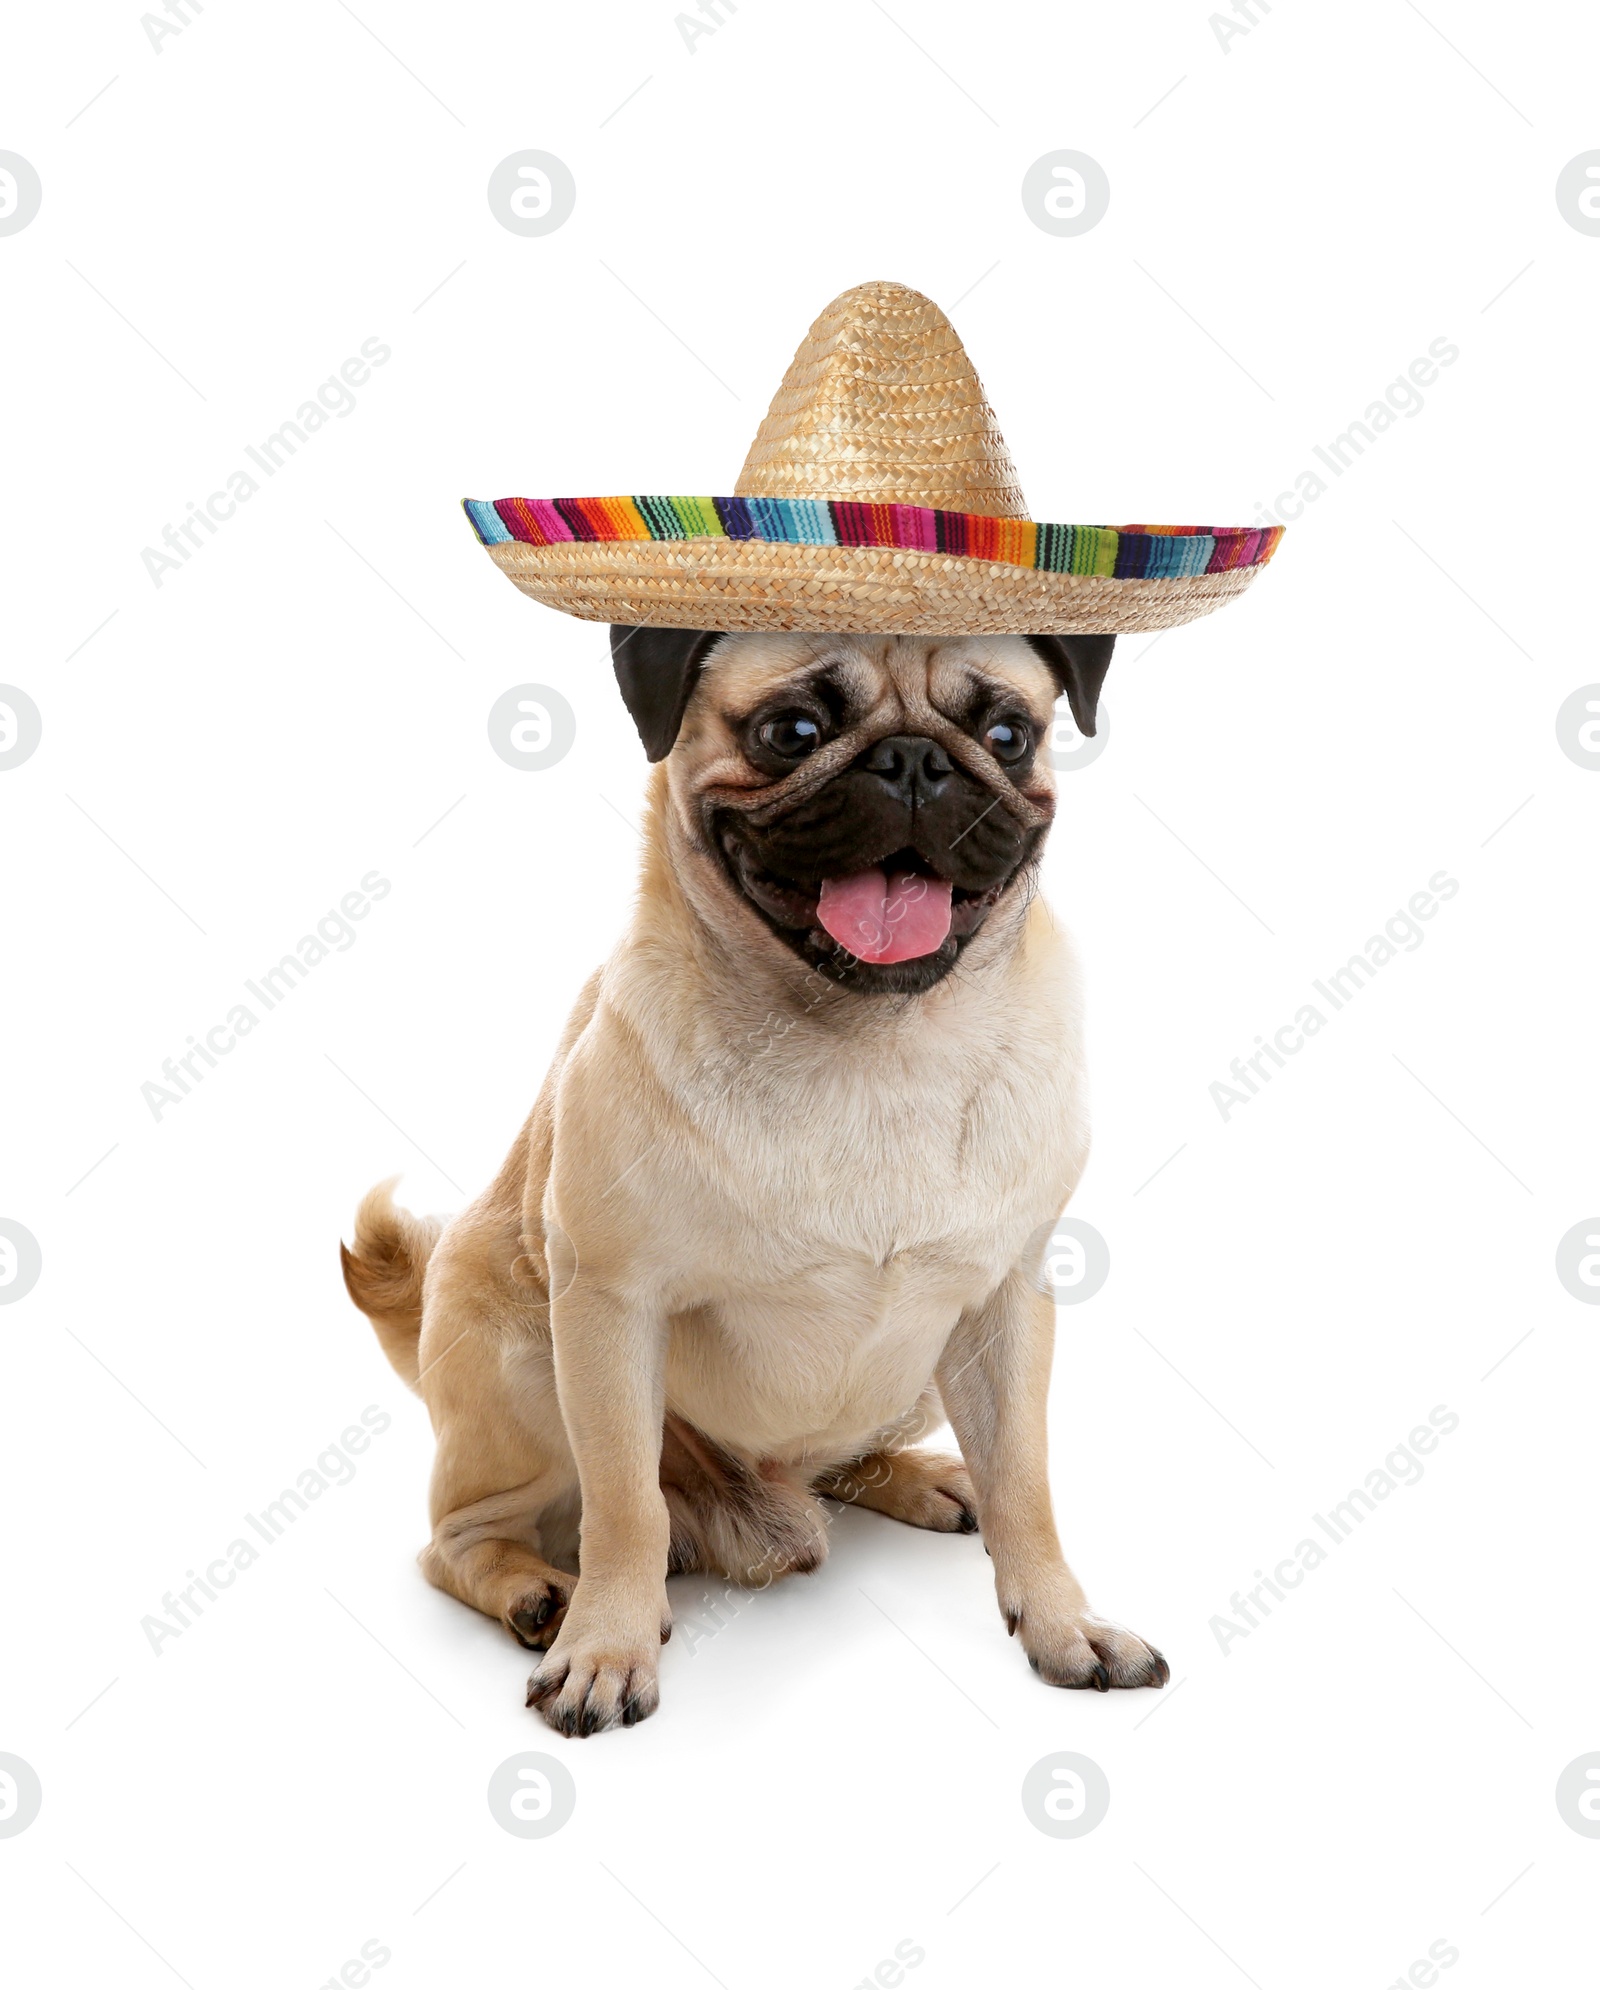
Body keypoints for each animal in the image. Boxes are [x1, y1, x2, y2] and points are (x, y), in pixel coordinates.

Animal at [340, 628, 1162, 1735]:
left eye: (1006, 735)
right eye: (792, 732)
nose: (914, 760)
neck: (876, 1045)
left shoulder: (1006, 1303)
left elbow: (1027, 1484)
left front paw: (1064, 1625)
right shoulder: (607, 1306)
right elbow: (624, 1506)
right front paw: (605, 1647)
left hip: (917, 1372)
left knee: (849, 1462)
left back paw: (916, 1480)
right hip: (522, 1359)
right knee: (462, 1540)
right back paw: (536, 1594)